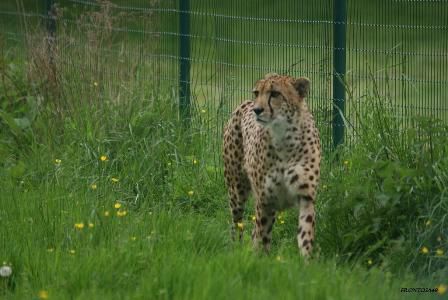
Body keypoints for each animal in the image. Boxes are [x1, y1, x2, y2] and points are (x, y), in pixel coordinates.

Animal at [222, 73, 320, 258]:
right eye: (257, 92)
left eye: (275, 94)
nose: (257, 110)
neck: (285, 138)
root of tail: (244, 104)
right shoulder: (264, 199)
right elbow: (262, 235)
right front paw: (259, 259)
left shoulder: (306, 197)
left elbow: (305, 234)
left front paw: (306, 261)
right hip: (236, 190)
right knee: (237, 223)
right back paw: (235, 247)